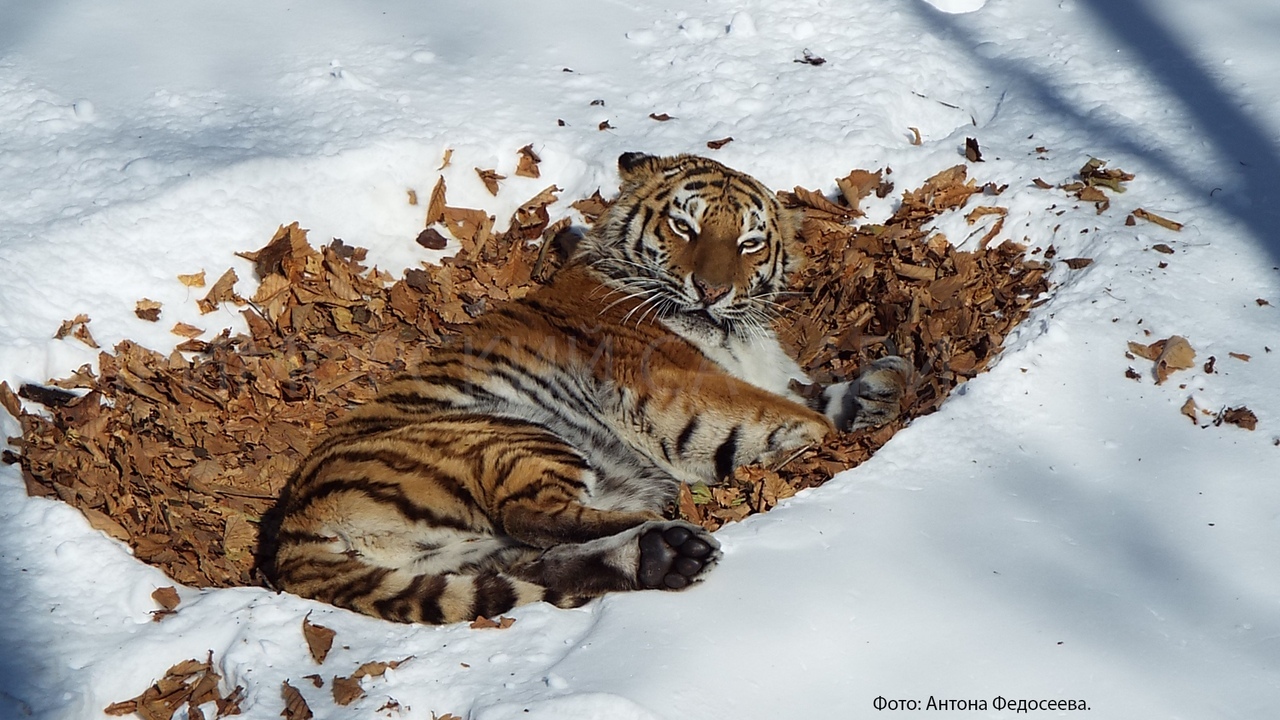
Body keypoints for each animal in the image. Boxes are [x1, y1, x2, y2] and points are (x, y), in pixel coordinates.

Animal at [259, 152, 916, 622]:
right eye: (684, 226)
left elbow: (821, 393)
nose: (710, 291)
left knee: (537, 568)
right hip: (506, 434)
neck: (733, 332)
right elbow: (795, 417)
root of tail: (291, 535)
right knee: (532, 516)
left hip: (469, 549)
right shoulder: (677, 383)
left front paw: (890, 380)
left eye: (749, 242)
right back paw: (669, 531)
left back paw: (662, 557)